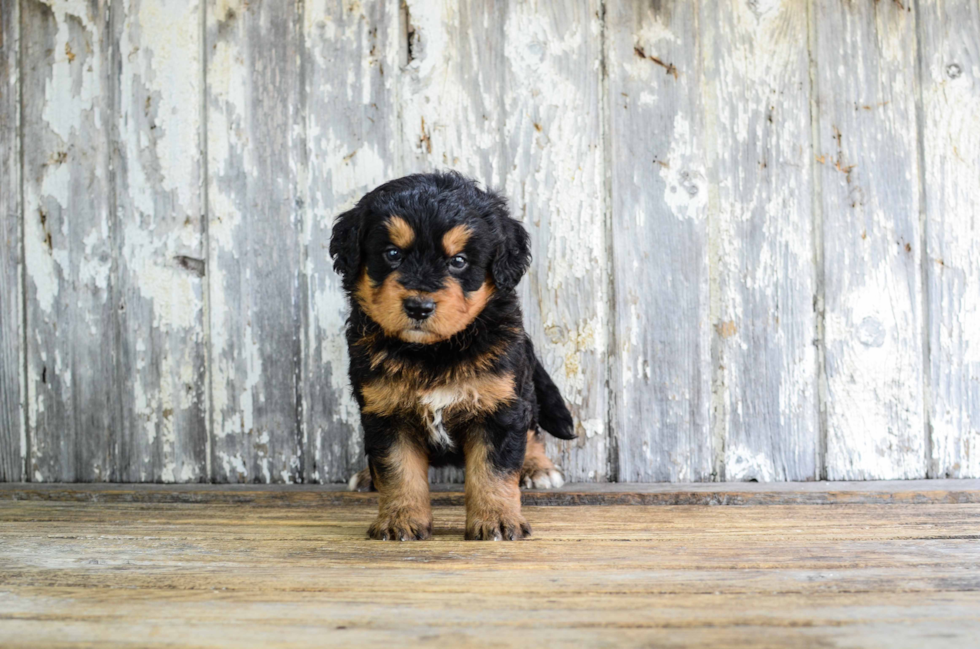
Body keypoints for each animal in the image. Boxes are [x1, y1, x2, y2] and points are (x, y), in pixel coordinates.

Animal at [332, 170, 576, 540]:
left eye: (458, 261)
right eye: (392, 253)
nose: (419, 307)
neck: (434, 352)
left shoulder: (499, 405)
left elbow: (494, 470)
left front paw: (497, 520)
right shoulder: (386, 412)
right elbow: (398, 470)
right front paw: (400, 519)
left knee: (531, 428)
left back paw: (537, 467)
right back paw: (367, 476)